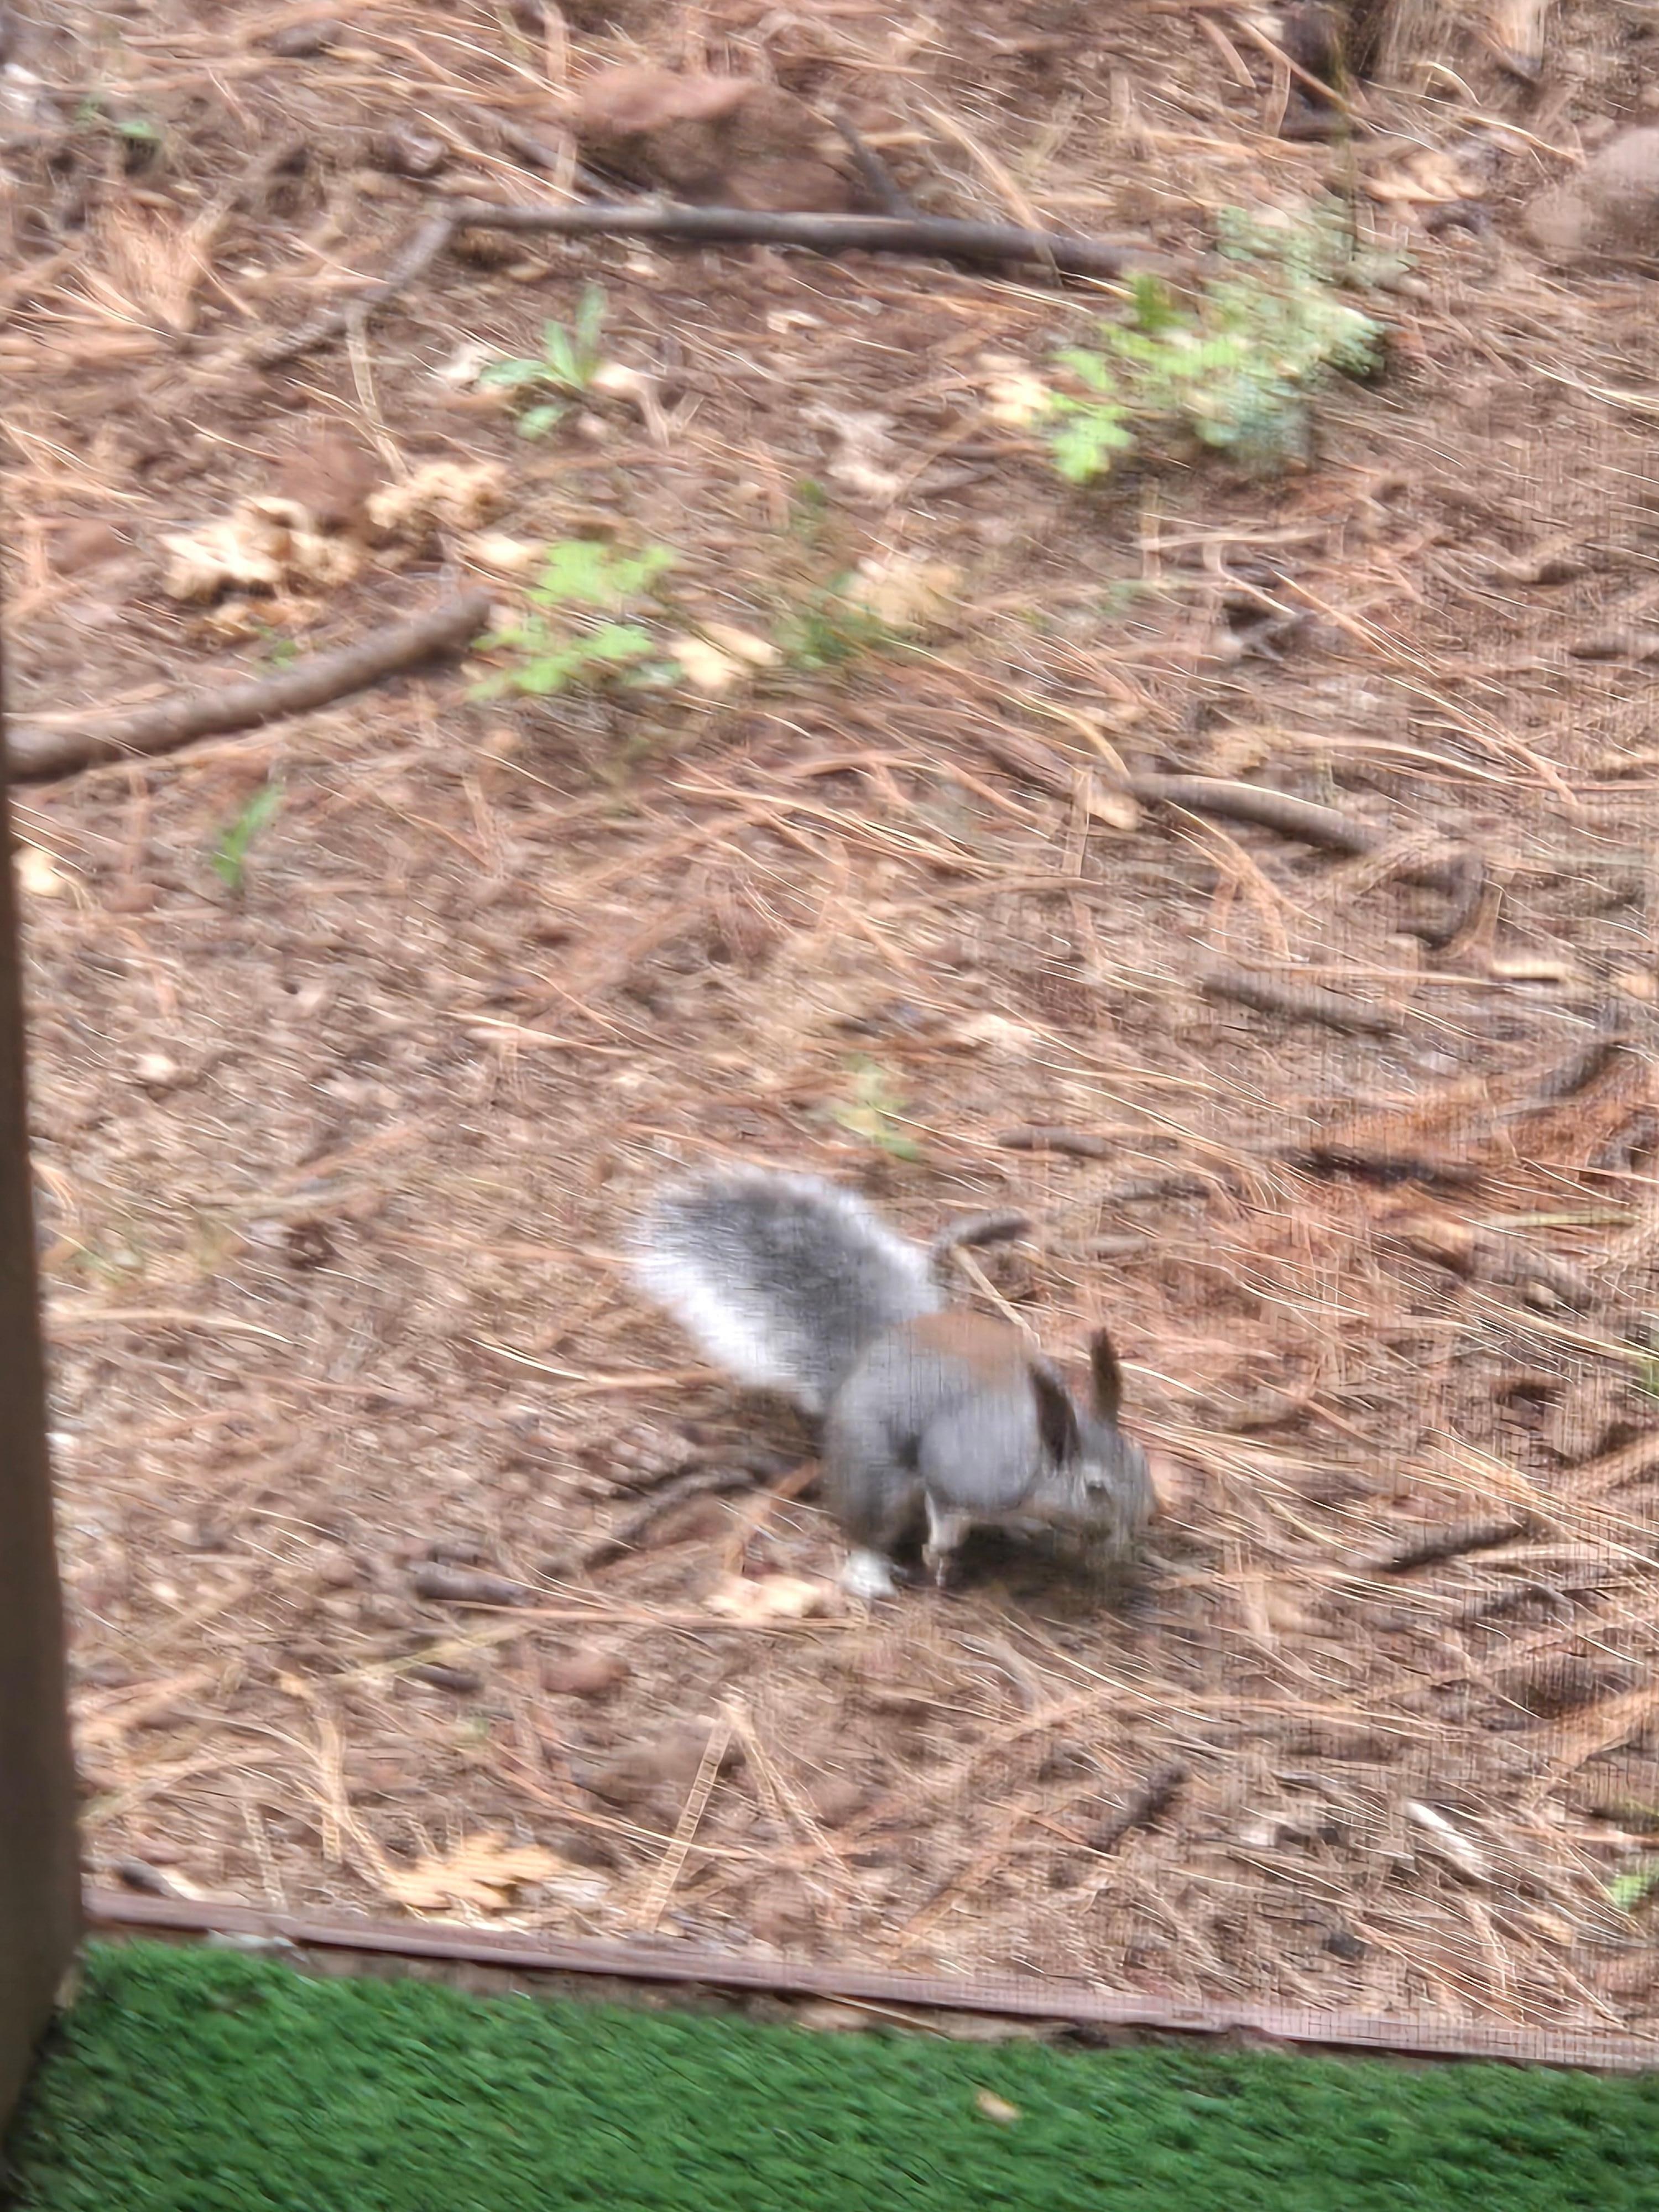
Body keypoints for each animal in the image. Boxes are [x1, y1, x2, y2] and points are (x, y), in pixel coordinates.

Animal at [629, 1166, 1155, 1598]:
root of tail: (865, 1360)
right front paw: (939, 1554)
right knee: (865, 1529)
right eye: (1095, 1489)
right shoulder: (960, 1473)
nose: (1143, 1521)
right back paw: (871, 1571)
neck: (1032, 1451)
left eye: (1141, 1462)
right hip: (873, 1483)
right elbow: (946, 1515)